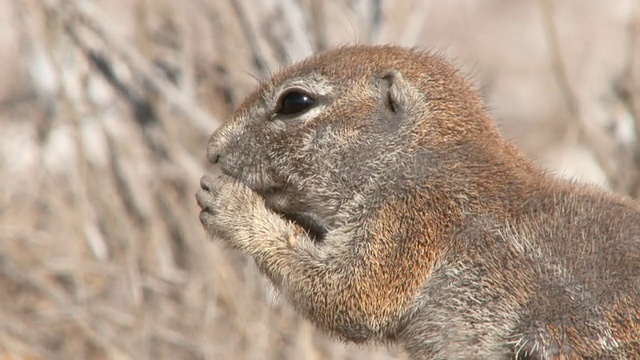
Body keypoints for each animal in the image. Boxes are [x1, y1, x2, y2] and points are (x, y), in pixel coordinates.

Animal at [195, 45, 640, 360]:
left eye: (294, 102)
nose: (213, 150)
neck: (417, 153)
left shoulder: (406, 218)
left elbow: (351, 294)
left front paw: (232, 207)